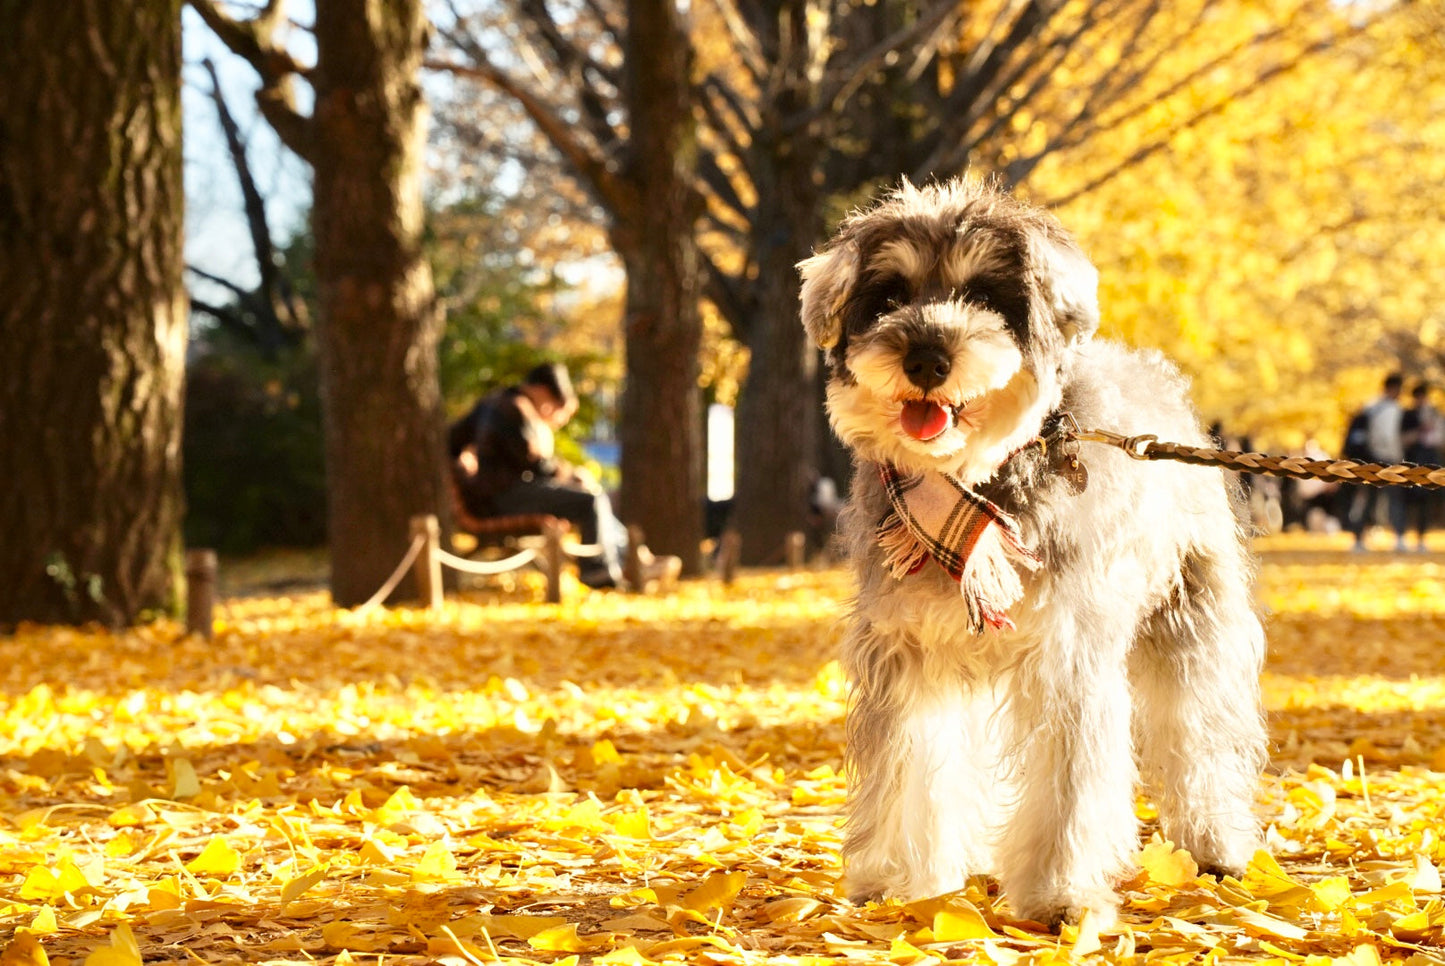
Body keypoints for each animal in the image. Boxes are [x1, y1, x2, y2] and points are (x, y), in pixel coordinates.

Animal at [803, 179, 1265, 924]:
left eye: (986, 296)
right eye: (888, 295)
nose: (926, 358)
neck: (973, 483)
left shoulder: (1065, 655)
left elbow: (1066, 787)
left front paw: (1057, 892)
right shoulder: (905, 652)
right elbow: (906, 768)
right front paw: (899, 882)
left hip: (1191, 622)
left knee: (1201, 735)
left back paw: (1214, 843)